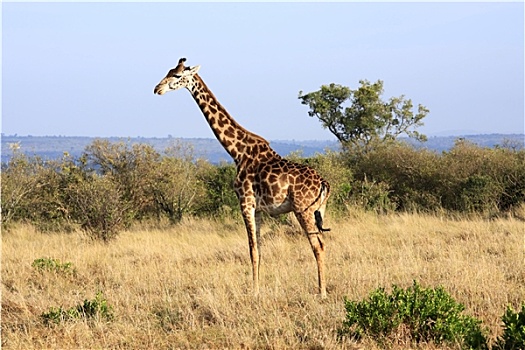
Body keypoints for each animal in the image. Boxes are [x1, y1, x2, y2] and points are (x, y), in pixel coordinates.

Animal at [154, 58, 330, 298]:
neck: (237, 152)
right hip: (319, 210)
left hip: (303, 210)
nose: (157, 89)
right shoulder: (260, 209)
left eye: (178, 76)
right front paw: (259, 289)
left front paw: (253, 292)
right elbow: (260, 249)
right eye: (169, 71)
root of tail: (323, 183)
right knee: (324, 242)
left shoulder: (245, 202)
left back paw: (322, 292)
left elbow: (252, 249)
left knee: (317, 245)